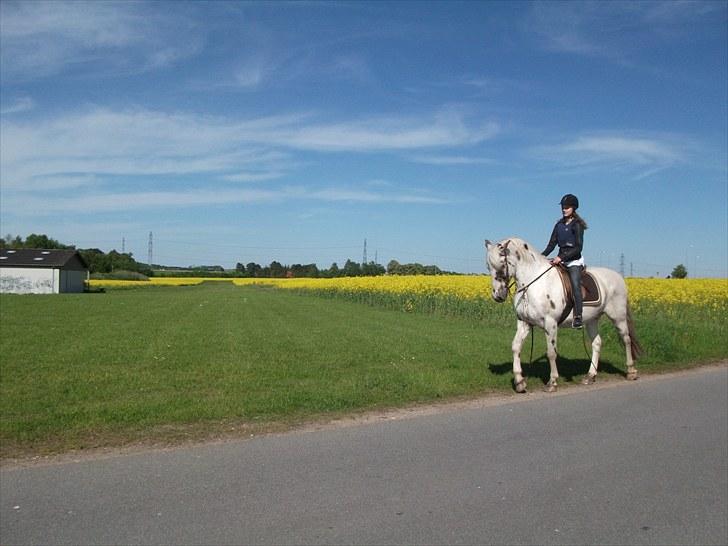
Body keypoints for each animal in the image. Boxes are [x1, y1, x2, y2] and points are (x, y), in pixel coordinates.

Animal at [486, 235, 640, 392]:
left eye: (502, 264)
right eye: (488, 266)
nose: (498, 295)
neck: (532, 285)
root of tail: (619, 277)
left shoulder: (550, 323)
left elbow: (551, 352)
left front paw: (552, 382)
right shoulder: (524, 323)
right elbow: (516, 347)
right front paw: (519, 382)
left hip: (618, 317)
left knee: (626, 339)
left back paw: (631, 372)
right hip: (592, 320)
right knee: (597, 343)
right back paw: (590, 376)